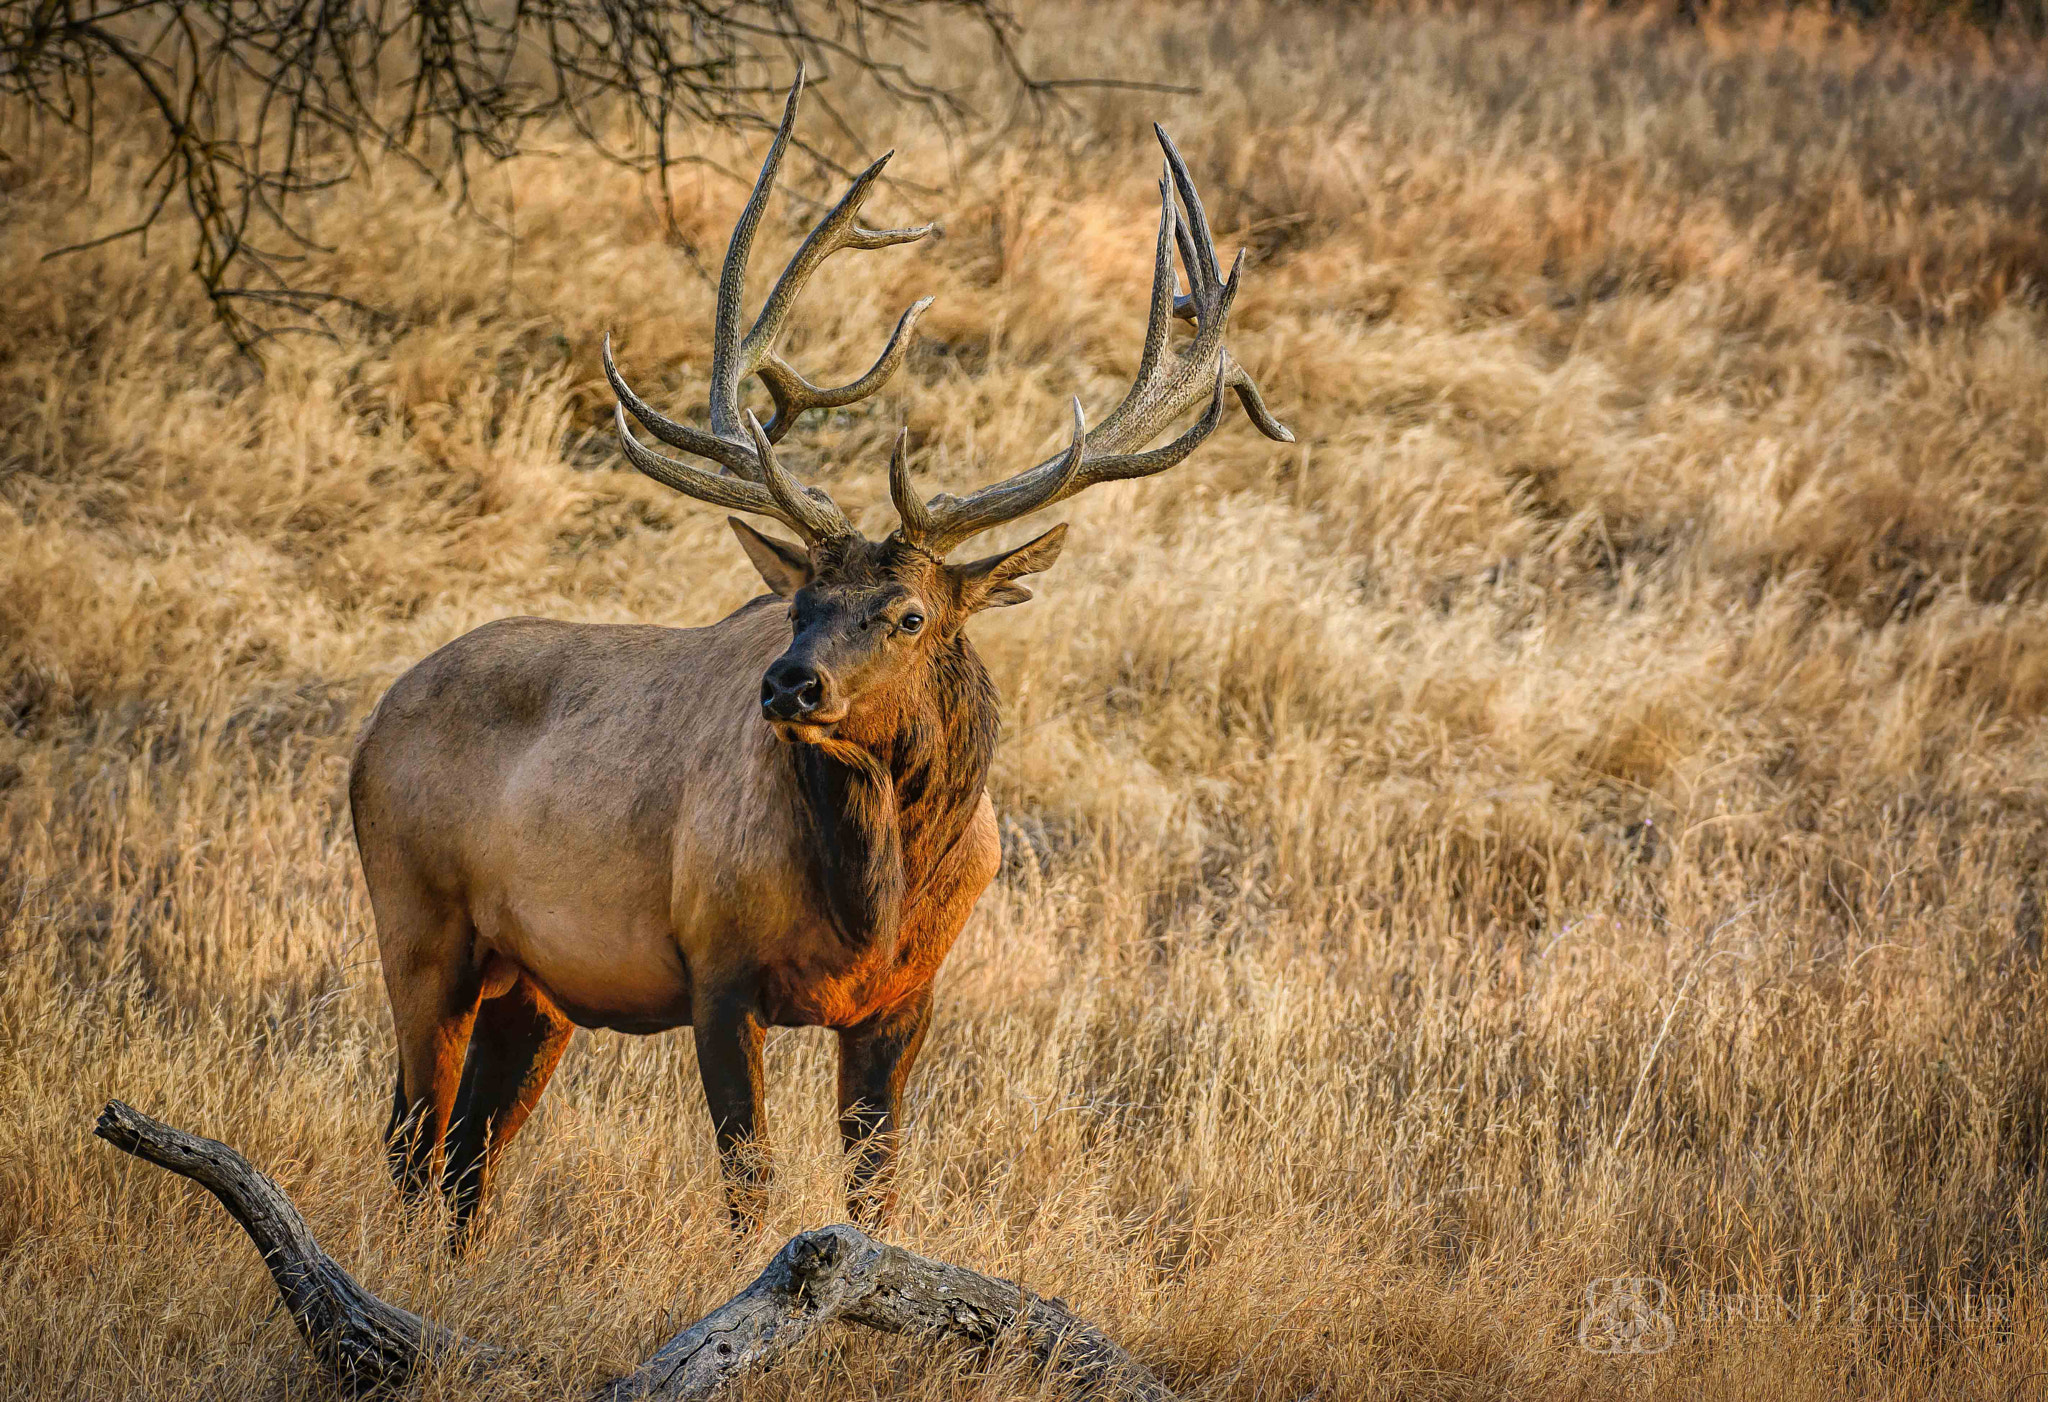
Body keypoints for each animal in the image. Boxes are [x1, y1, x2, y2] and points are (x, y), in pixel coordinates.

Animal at [349, 69, 1292, 1247]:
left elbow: (875, 1186)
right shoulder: (714, 969)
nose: (788, 684)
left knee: (469, 1155)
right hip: (417, 923)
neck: (873, 899)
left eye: (910, 615)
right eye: (797, 599)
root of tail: (370, 727)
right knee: (410, 1140)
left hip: (535, 985)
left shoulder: (906, 1000)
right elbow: (748, 1184)